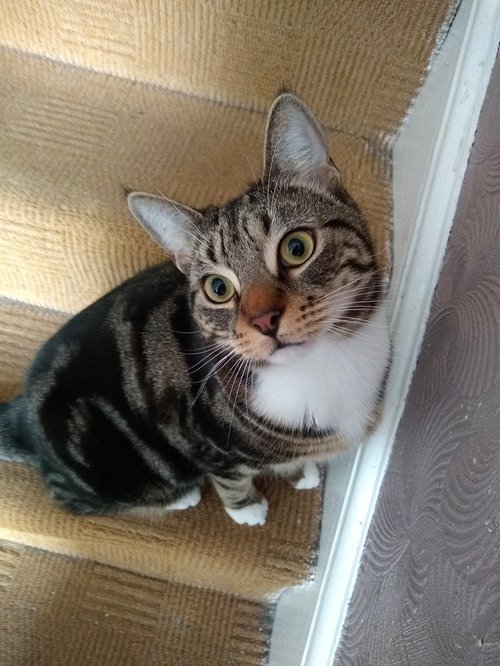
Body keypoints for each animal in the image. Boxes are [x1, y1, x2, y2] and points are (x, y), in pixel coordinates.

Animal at [0, 93, 390, 524]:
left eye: (297, 247)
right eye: (218, 288)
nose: (264, 321)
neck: (322, 367)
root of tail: (21, 414)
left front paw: (300, 471)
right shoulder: (207, 443)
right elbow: (230, 477)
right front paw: (247, 509)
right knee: (82, 500)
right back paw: (179, 496)